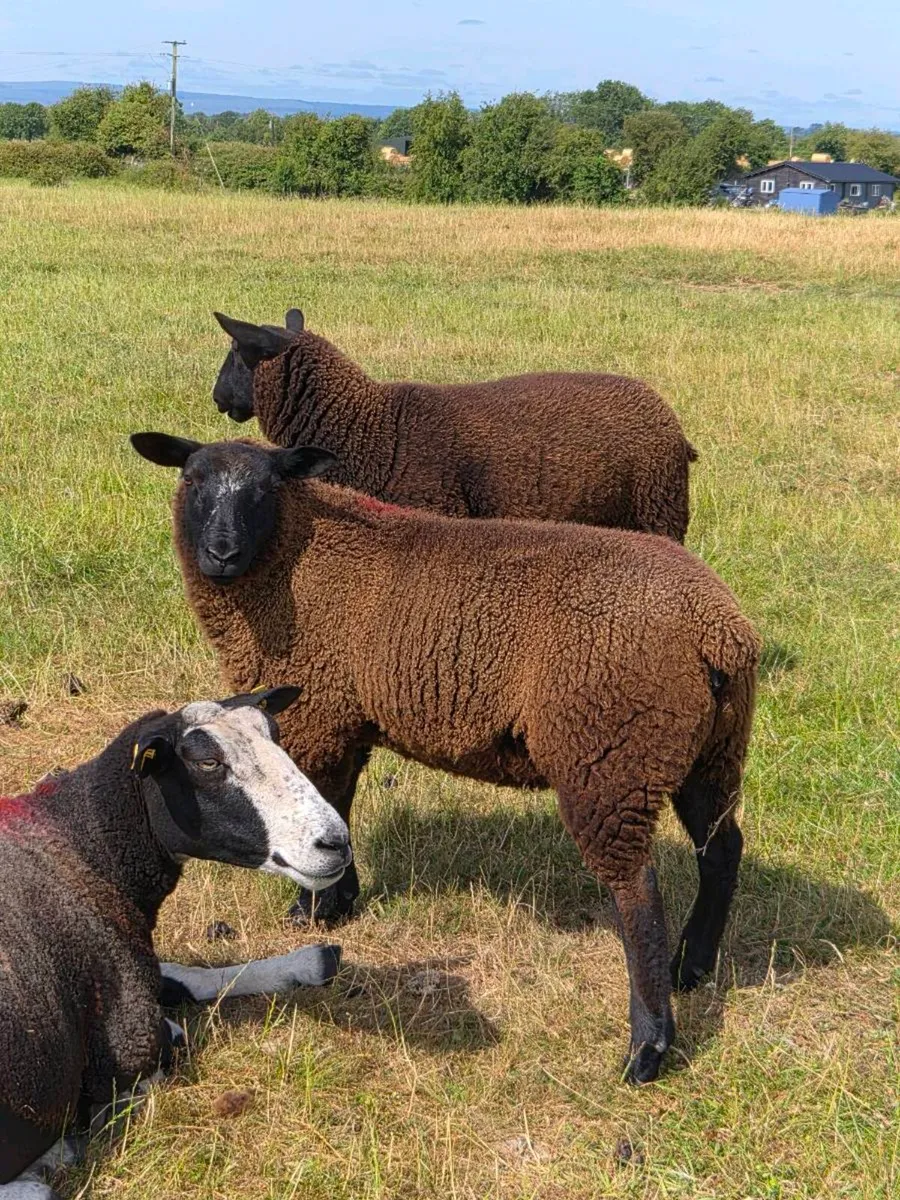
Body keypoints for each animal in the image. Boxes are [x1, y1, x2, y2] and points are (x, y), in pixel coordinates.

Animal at [0, 689, 350, 1195]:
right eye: (206, 762)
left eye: (276, 734)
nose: (336, 843)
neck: (88, 841)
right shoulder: (130, 1034)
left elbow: (184, 975)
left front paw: (305, 962)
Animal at [131, 432, 760, 1084]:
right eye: (193, 480)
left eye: (265, 488)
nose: (221, 552)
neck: (295, 559)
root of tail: (718, 631)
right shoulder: (349, 717)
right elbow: (340, 809)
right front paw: (341, 901)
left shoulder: (320, 712)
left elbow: (324, 804)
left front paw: (312, 909)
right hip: (707, 754)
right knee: (721, 852)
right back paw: (693, 967)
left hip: (609, 755)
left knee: (638, 894)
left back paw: (648, 1046)